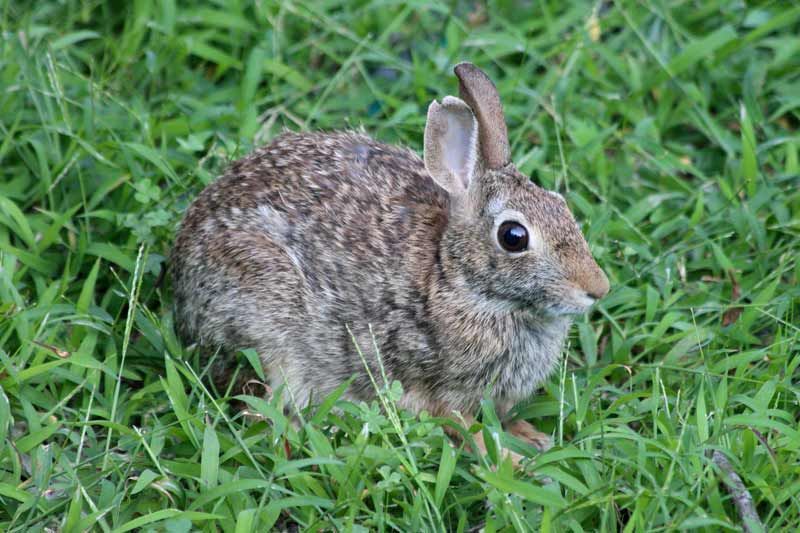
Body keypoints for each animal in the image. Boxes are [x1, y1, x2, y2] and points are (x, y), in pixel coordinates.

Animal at [171, 62, 609, 465]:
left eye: (561, 205)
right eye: (513, 237)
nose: (598, 289)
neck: (454, 278)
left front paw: (532, 438)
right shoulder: (433, 385)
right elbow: (464, 425)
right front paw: (510, 462)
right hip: (264, 314)